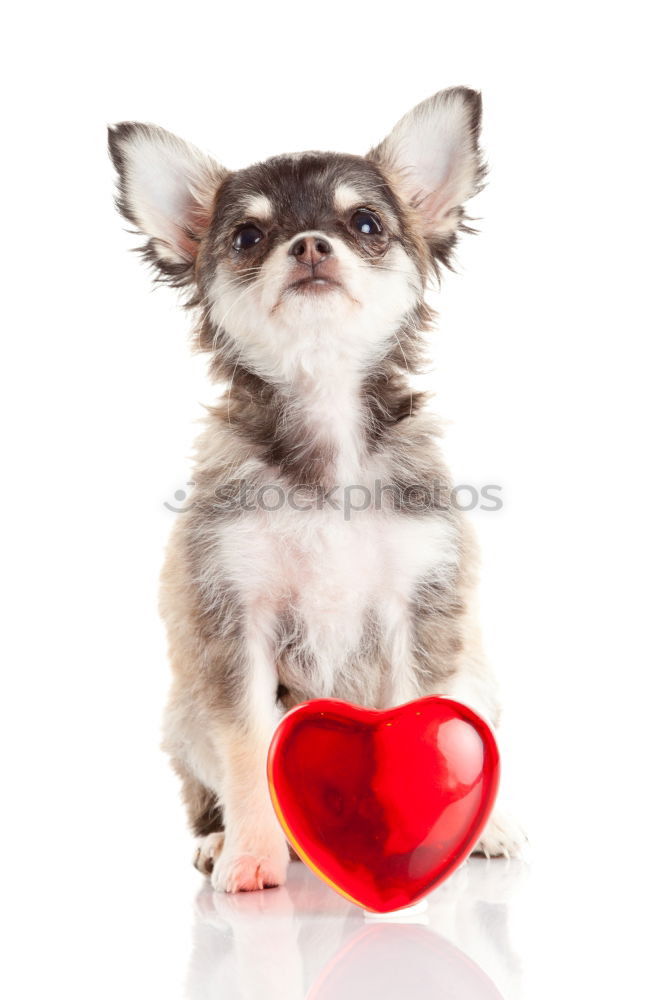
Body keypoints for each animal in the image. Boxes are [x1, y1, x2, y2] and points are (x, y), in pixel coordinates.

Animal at [109, 90, 524, 896]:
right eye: (246, 237)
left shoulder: (420, 613)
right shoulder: (235, 627)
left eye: (365, 224)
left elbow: (424, 735)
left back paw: (485, 830)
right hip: (186, 714)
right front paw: (250, 856)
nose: (307, 246)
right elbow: (247, 750)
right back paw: (223, 841)